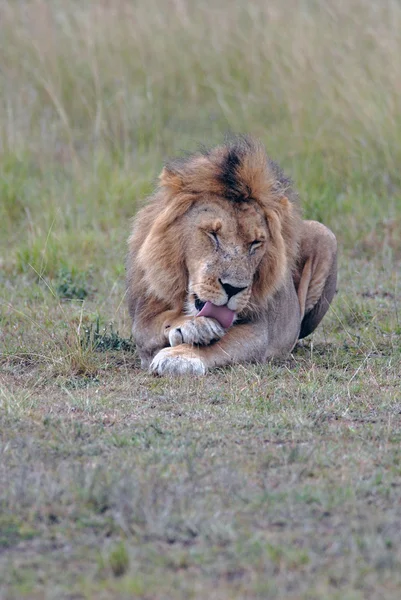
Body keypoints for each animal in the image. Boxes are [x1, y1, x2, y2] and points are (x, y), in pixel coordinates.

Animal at [126, 136, 336, 376]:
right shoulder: (142, 319)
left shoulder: (258, 330)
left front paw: (179, 356)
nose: (233, 289)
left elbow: (221, 344)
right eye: (212, 234)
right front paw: (193, 326)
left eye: (255, 243)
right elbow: (159, 323)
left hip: (324, 234)